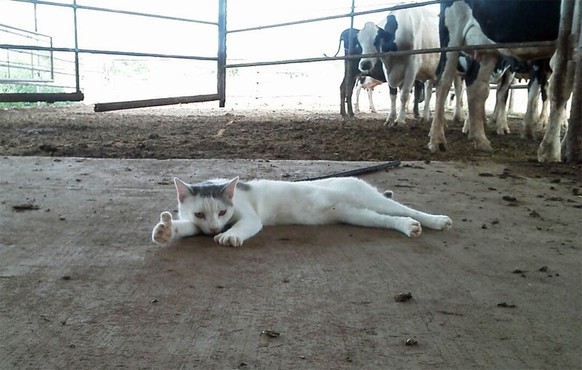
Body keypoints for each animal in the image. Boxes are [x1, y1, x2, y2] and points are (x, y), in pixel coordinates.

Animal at [434, 0, 580, 161]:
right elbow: (559, 90)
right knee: (443, 82)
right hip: (452, 35)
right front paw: (550, 151)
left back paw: (480, 139)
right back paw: (437, 140)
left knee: (476, 86)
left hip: (485, 48)